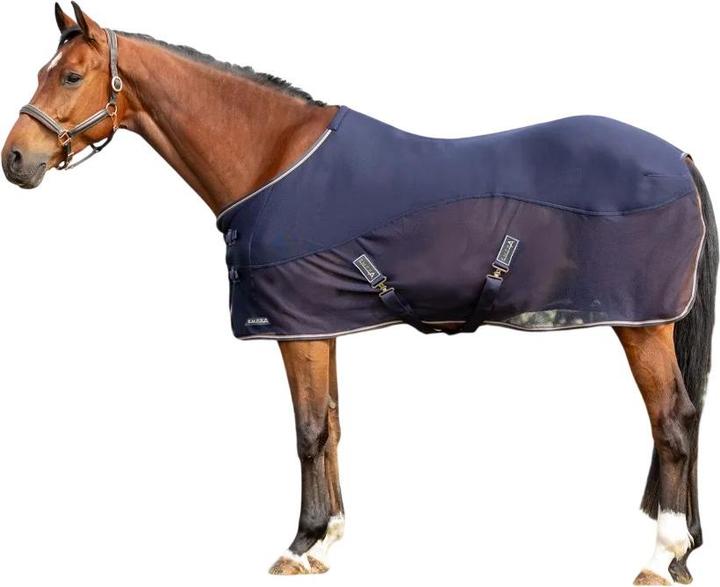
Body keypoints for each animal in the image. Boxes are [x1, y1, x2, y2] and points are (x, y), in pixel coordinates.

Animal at [2, 4, 716, 584]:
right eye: (43, 70)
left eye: (70, 77)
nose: (15, 160)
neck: (274, 157)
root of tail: (678, 158)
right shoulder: (321, 323)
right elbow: (334, 424)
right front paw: (327, 542)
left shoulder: (295, 329)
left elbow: (308, 431)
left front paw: (297, 547)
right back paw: (681, 552)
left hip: (641, 324)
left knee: (672, 421)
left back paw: (661, 558)